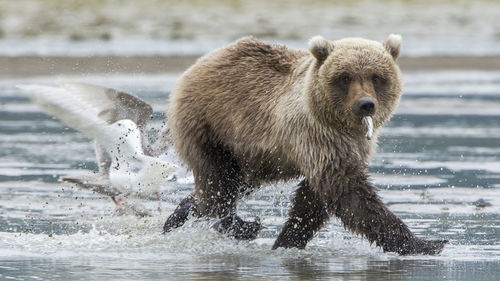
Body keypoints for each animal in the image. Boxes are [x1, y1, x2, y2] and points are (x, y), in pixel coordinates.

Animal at [162, 34, 448, 254]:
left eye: (376, 76)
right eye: (345, 77)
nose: (365, 104)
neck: (341, 126)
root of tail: (201, 62)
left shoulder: (350, 146)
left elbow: (313, 200)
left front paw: (288, 239)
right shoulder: (315, 136)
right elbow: (350, 194)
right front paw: (426, 243)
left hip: (251, 157)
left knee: (230, 184)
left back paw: (177, 215)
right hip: (209, 126)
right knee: (220, 184)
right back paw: (242, 225)